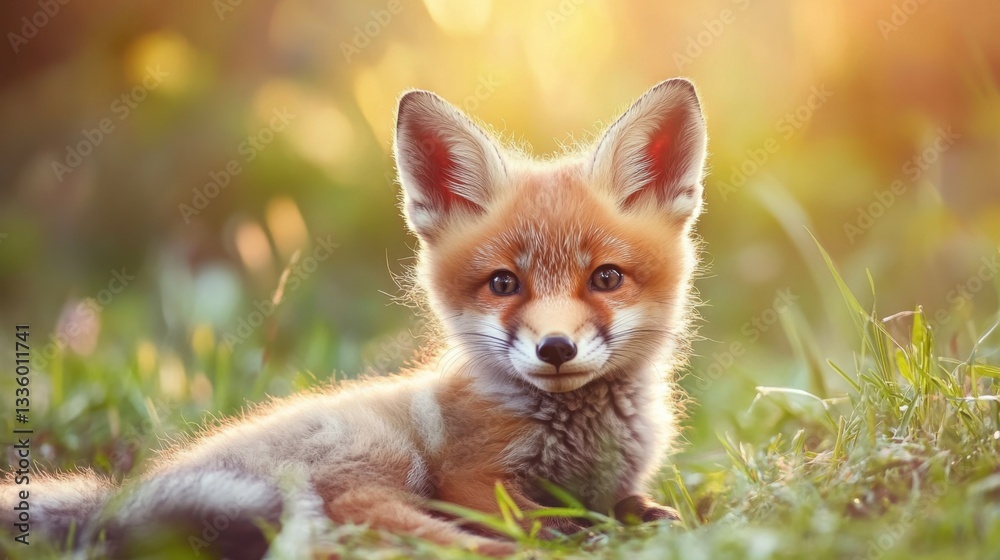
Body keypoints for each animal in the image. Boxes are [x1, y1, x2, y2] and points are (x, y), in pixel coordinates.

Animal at [1, 77, 709, 558]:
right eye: (504, 283)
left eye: (606, 278)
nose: (556, 348)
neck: (578, 440)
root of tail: (127, 492)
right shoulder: (471, 476)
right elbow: (526, 513)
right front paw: (582, 529)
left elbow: (628, 502)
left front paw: (640, 515)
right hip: (378, 457)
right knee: (366, 526)